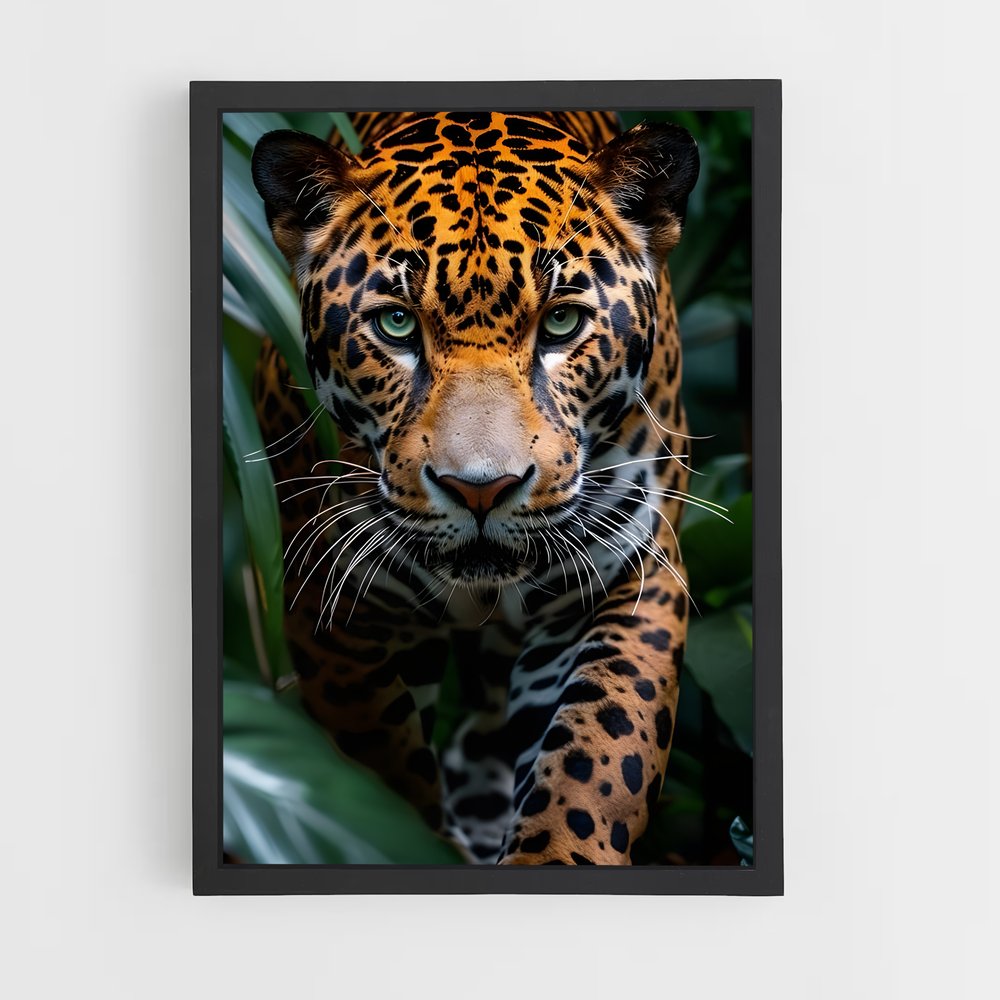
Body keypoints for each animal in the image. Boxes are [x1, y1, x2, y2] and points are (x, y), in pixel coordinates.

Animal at [249, 110, 699, 864]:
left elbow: (597, 759)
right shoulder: (334, 607)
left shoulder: (630, 576)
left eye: (561, 322)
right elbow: (382, 768)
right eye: (397, 323)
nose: (482, 490)